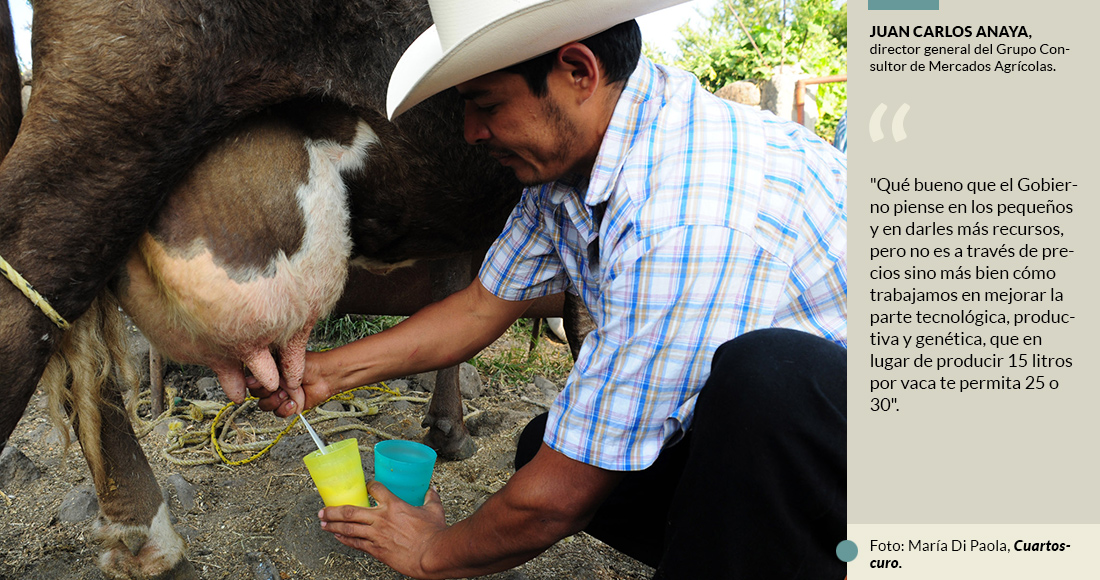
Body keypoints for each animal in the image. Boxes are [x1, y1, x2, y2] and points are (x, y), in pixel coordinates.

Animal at [0, 1, 586, 578]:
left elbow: (459, 303)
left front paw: (445, 429)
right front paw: (454, 433)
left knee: (80, 356)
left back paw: (144, 540)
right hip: (123, 110)